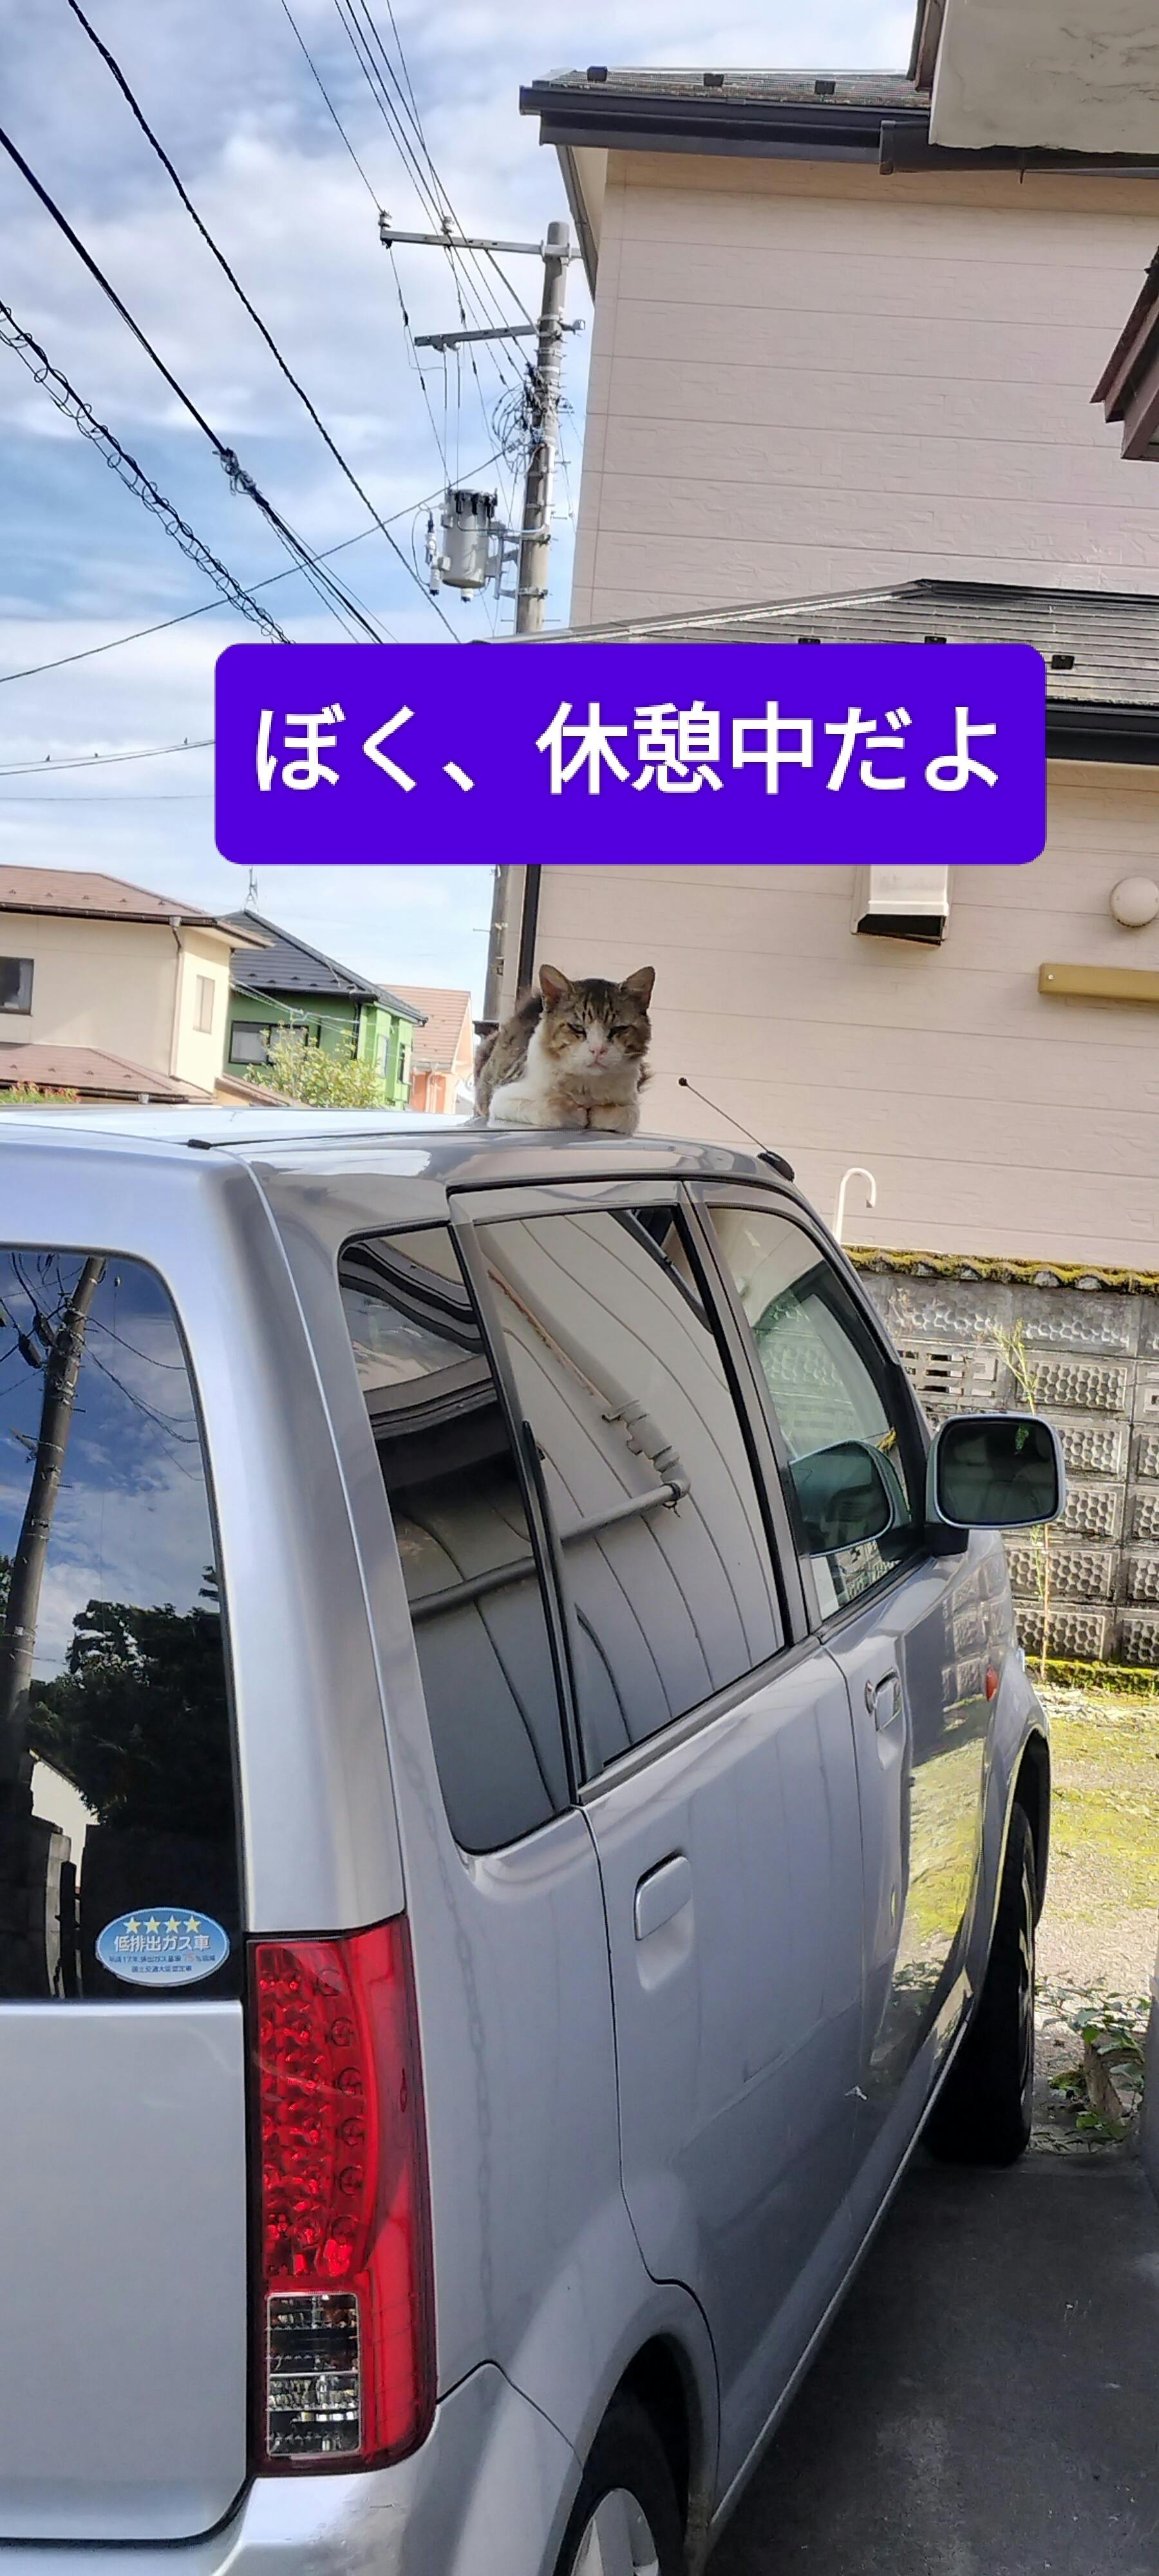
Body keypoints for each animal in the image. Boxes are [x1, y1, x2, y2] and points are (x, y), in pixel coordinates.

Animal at [474, 964, 655, 1134]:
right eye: (577, 1028)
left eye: (619, 1029)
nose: (598, 1050)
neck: (587, 1086)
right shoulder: (502, 1098)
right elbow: (553, 1109)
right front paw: (578, 1113)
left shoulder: (630, 1104)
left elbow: (623, 1116)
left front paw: (596, 1114)